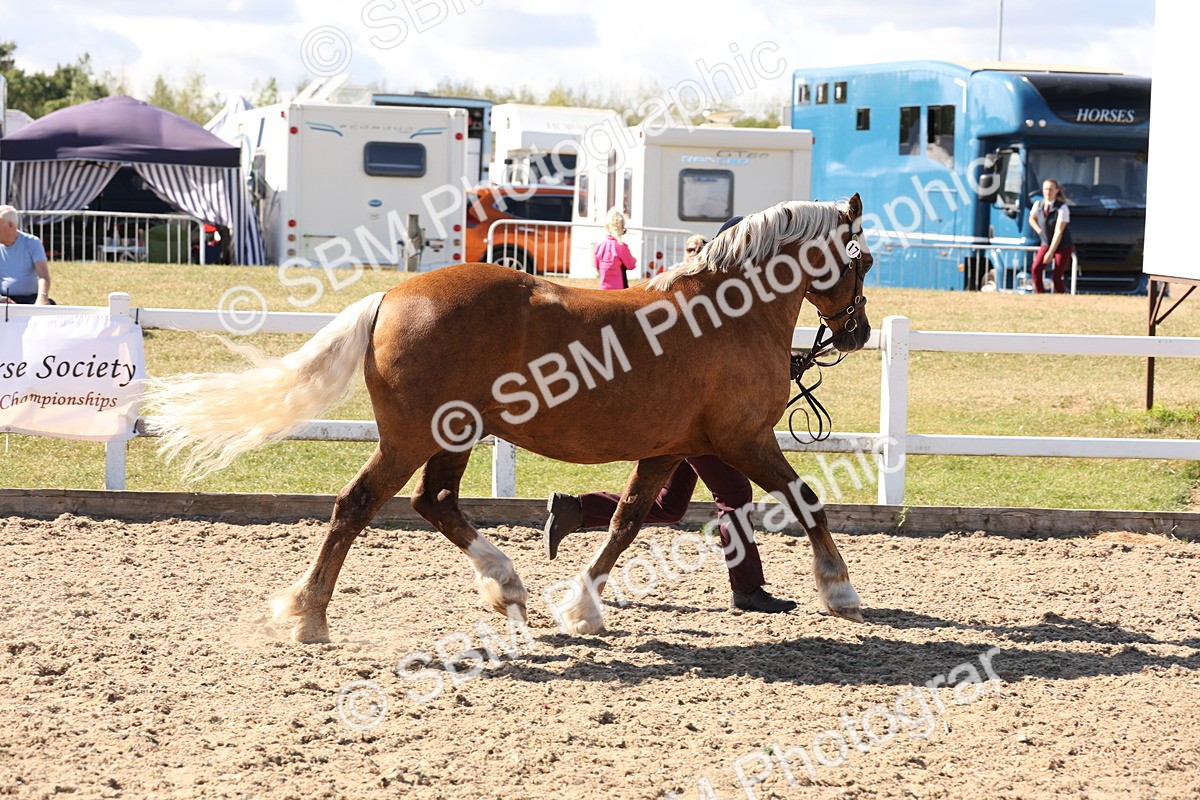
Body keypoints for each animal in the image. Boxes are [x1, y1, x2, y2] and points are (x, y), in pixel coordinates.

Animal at [145, 194, 874, 643]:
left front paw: (582, 607)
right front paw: (839, 590)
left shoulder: (670, 448)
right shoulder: (744, 439)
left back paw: (506, 588)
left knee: (435, 503)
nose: (858, 332)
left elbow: (625, 521)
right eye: (863, 259)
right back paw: (311, 618)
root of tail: (389, 296)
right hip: (413, 437)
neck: (728, 314)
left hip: (452, 436)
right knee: (359, 505)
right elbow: (808, 500)